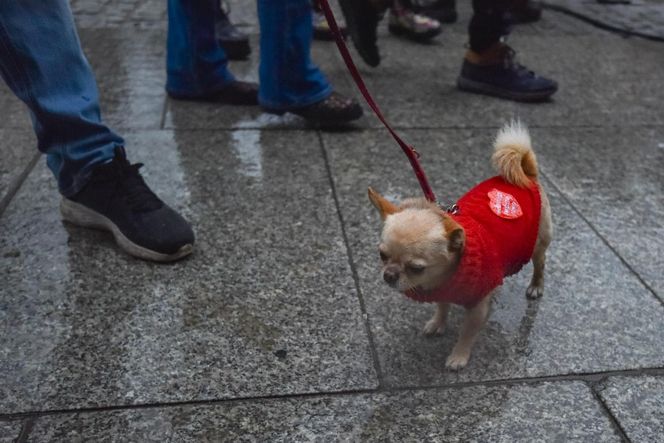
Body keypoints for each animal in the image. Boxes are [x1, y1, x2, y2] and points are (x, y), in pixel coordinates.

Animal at [368, 122, 548, 372]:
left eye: (416, 268)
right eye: (382, 255)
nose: (389, 275)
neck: (445, 278)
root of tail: (527, 174)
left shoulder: (475, 309)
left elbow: (467, 333)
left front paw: (459, 356)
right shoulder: (443, 291)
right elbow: (442, 307)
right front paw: (438, 323)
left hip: (540, 243)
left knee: (540, 264)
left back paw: (536, 286)